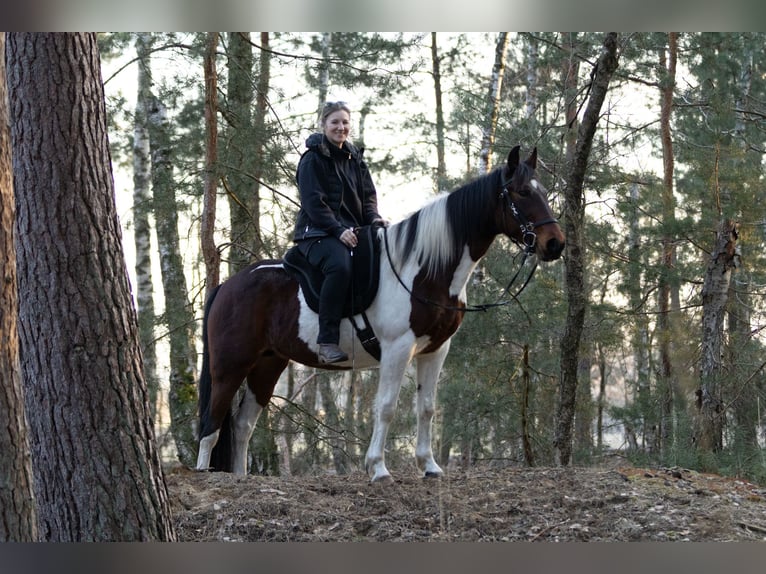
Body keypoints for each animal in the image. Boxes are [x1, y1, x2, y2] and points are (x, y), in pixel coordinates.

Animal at [195, 146, 568, 484]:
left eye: (543, 191)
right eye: (522, 192)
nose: (555, 244)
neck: (425, 269)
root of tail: (228, 285)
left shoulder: (435, 350)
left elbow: (427, 407)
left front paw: (429, 467)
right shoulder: (397, 349)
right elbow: (386, 406)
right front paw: (378, 469)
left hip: (268, 363)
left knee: (243, 424)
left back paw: (240, 477)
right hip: (230, 365)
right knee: (212, 422)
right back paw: (202, 471)